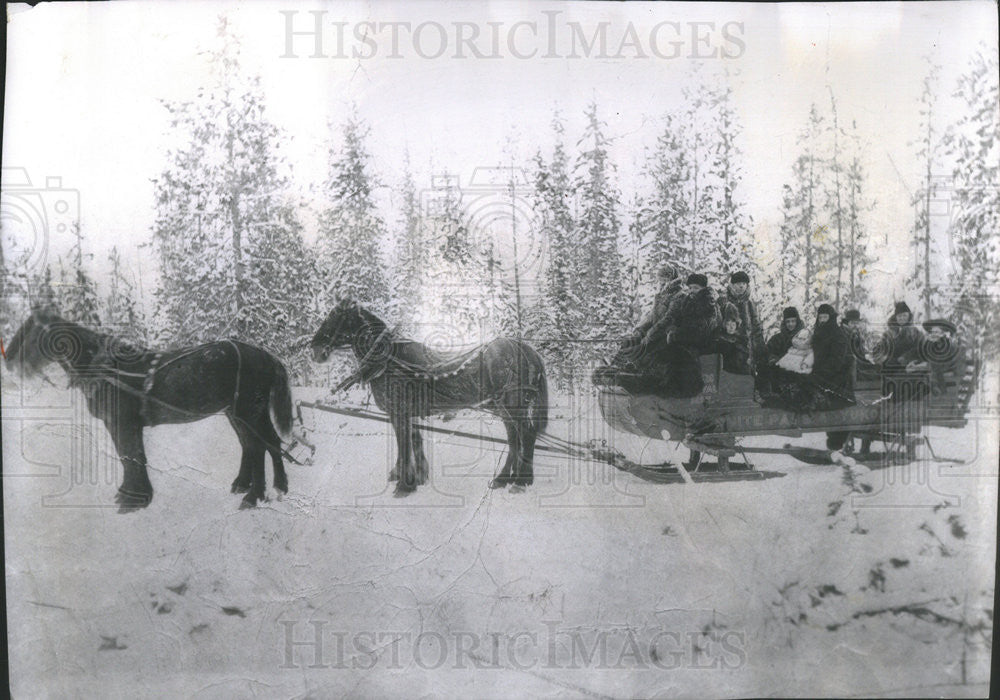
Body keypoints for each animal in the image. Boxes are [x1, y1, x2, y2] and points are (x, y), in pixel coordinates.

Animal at [2, 308, 292, 512]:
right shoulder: (117, 424)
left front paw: (134, 499)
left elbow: (132, 456)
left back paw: (257, 495)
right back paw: (265, 487)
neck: (106, 368)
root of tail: (267, 356)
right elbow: (128, 456)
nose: (9, 360)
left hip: (248, 411)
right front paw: (131, 494)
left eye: (31, 332)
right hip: (237, 413)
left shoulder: (123, 422)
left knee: (261, 445)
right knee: (260, 444)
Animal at [310, 298, 552, 494]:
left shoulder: (399, 412)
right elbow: (414, 441)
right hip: (503, 407)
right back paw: (503, 479)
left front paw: (404, 485)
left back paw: (522, 481)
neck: (389, 360)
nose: (315, 350)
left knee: (527, 434)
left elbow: (404, 444)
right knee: (514, 438)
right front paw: (417, 477)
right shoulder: (408, 413)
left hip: (514, 404)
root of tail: (529, 351)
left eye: (334, 317)